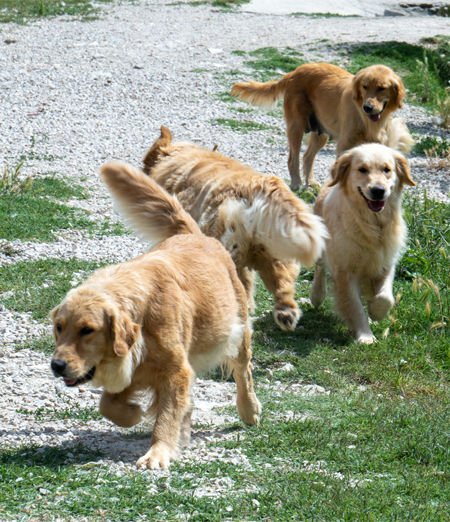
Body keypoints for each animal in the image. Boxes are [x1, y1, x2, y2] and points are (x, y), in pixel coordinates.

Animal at [50, 162, 260, 468]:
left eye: (87, 330)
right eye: (58, 327)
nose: (56, 365)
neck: (142, 316)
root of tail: (194, 234)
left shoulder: (175, 370)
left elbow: (166, 415)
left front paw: (157, 453)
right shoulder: (136, 367)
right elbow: (108, 403)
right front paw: (133, 414)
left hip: (238, 333)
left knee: (243, 372)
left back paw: (249, 409)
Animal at [230, 63, 414, 189]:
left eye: (382, 88)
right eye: (365, 86)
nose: (367, 107)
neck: (366, 120)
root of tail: (294, 71)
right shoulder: (345, 145)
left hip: (321, 134)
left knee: (307, 157)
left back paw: (310, 182)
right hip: (296, 126)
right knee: (293, 159)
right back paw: (297, 184)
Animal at [310, 144, 414, 344]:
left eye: (387, 170)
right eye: (362, 169)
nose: (378, 190)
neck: (373, 226)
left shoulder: (385, 264)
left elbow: (386, 297)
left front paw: (375, 311)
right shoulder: (345, 271)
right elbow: (354, 305)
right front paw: (365, 335)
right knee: (319, 268)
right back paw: (317, 295)